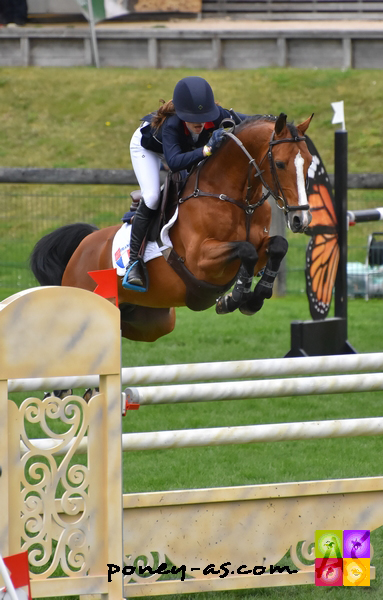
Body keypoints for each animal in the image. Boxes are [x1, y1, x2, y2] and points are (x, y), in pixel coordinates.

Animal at [30, 113, 314, 342]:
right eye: (280, 164)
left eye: (310, 162)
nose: (301, 219)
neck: (237, 200)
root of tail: (82, 247)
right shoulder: (200, 261)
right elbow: (246, 250)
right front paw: (234, 298)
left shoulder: (257, 249)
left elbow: (277, 246)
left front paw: (253, 296)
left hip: (152, 322)